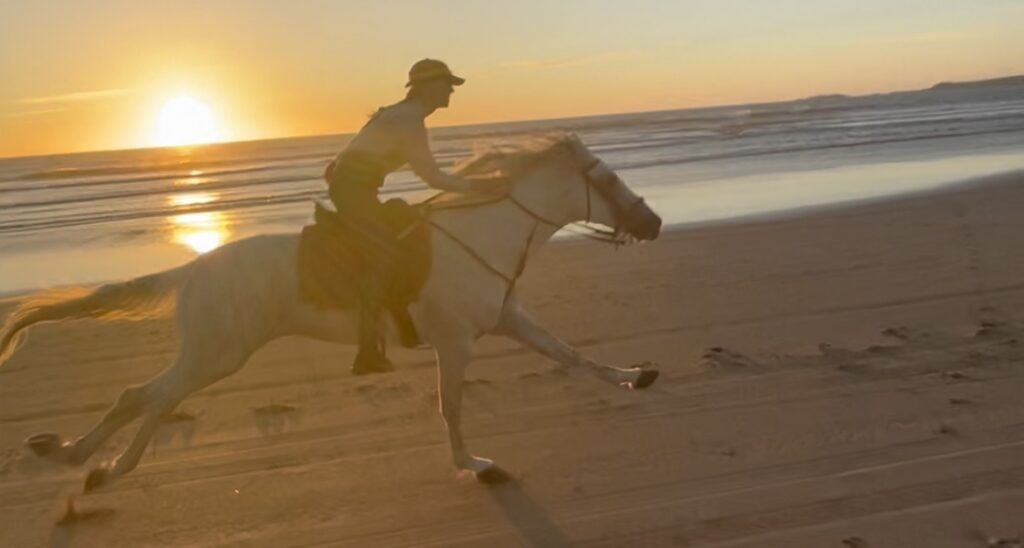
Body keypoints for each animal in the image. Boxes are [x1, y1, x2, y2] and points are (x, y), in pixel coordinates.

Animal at [0, 132, 663, 489]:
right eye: (609, 180)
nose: (653, 223)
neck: (482, 233)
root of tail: (193, 270)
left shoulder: (505, 320)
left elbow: (571, 355)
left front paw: (636, 376)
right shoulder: (457, 343)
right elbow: (450, 406)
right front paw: (475, 464)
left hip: (212, 355)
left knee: (157, 400)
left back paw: (96, 465)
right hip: (219, 353)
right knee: (141, 396)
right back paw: (81, 460)